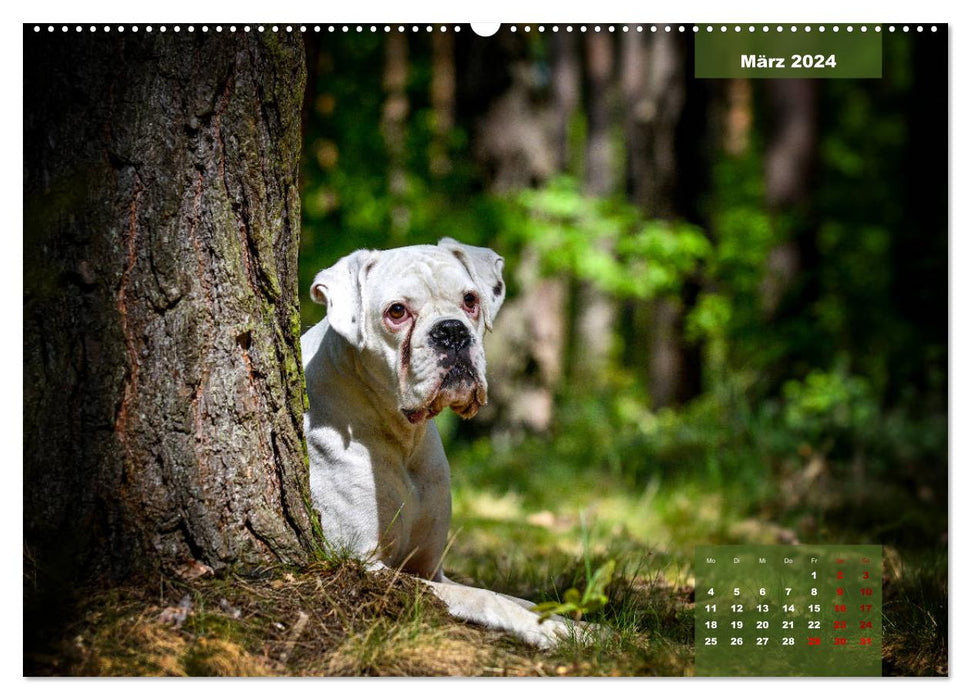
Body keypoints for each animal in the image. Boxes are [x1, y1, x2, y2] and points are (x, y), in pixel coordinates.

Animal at [304, 238, 572, 648]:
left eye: (470, 300)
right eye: (397, 311)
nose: (451, 331)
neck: (402, 437)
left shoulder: (430, 567)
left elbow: (523, 600)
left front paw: (585, 627)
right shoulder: (367, 565)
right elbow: (487, 598)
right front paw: (551, 631)